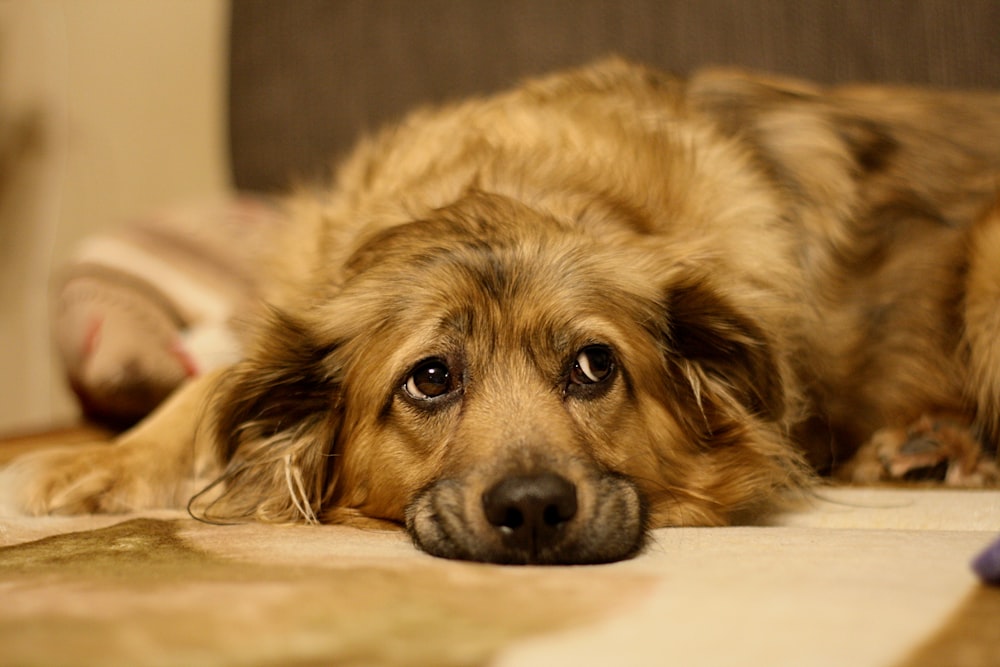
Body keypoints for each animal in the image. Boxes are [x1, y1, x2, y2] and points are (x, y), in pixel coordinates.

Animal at [1, 61, 1000, 564]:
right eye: (429, 379)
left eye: (595, 366)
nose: (532, 511)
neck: (517, 186)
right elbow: (207, 386)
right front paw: (100, 462)